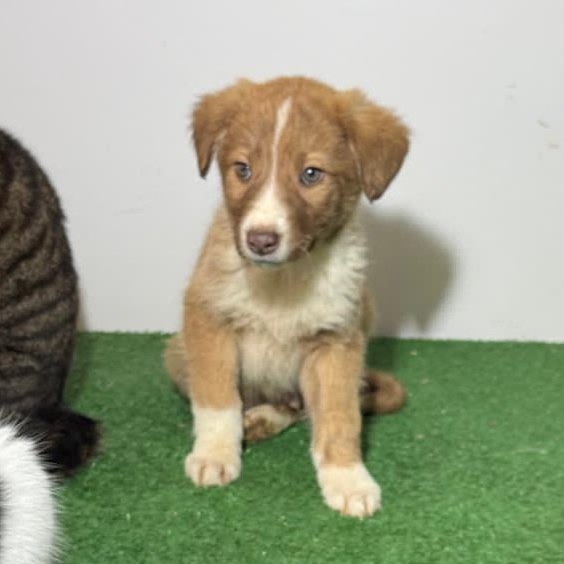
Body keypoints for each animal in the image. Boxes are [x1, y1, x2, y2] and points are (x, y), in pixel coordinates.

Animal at [165, 76, 409, 518]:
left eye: (311, 174)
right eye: (242, 169)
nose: (260, 240)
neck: (284, 282)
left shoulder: (337, 343)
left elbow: (339, 416)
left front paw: (347, 478)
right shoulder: (207, 317)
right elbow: (217, 399)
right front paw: (214, 454)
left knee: (301, 407)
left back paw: (266, 418)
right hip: (177, 352)